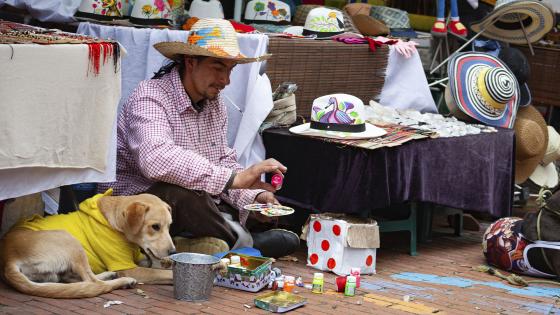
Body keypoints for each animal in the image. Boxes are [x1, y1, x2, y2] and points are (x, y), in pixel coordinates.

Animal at [0, 190, 175, 298]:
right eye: (155, 226)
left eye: (169, 226)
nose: (173, 251)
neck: (116, 222)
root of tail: (8, 257)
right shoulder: (129, 268)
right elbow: (163, 273)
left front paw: (168, 262)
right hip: (69, 240)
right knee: (94, 284)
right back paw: (123, 281)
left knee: (78, 281)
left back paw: (109, 275)